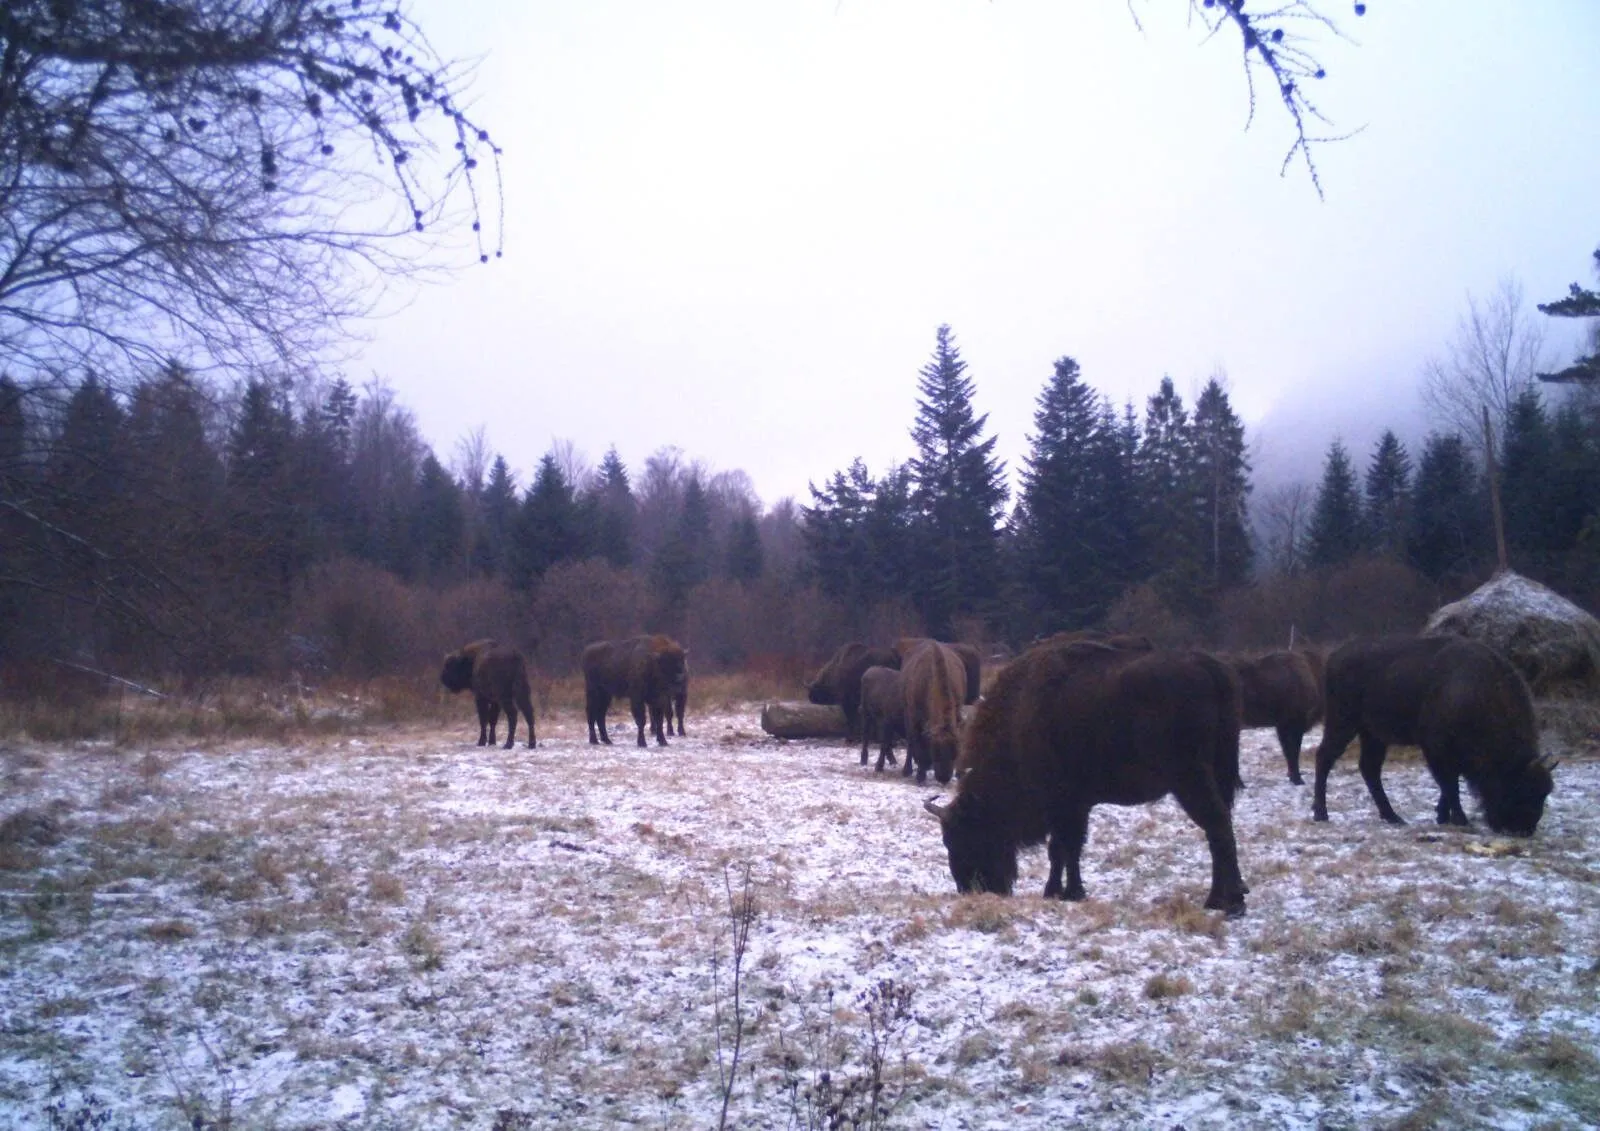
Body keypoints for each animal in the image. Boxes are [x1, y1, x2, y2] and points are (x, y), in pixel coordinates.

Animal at [902, 636, 960, 787]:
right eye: (936, 752)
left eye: (954, 752)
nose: (944, 778)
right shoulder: (914, 718)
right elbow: (916, 743)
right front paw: (920, 775)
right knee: (910, 743)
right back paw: (908, 769)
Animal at [928, 643, 1248, 915]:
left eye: (963, 837)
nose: (972, 889)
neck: (1020, 719)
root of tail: (1208, 668)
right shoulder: (1077, 806)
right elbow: (1069, 849)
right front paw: (1067, 892)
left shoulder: (1063, 806)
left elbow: (1061, 848)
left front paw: (1061, 892)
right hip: (1216, 774)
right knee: (1221, 827)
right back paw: (1227, 898)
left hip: (1190, 779)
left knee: (1217, 825)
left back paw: (1225, 902)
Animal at [1305, 643, 1555, 838]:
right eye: (1519, 787)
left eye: (1545, 792)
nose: (1524, 829)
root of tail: (1335, 658)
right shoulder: (1436, 748)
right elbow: (1449, 784)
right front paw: (1460, 819)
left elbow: (1449, 783)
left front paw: (1443, 817)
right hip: (1343, 723)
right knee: (1325, 757)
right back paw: (1321, 813)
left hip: (1373, 734)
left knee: (1369, 768)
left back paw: (1393, 817)